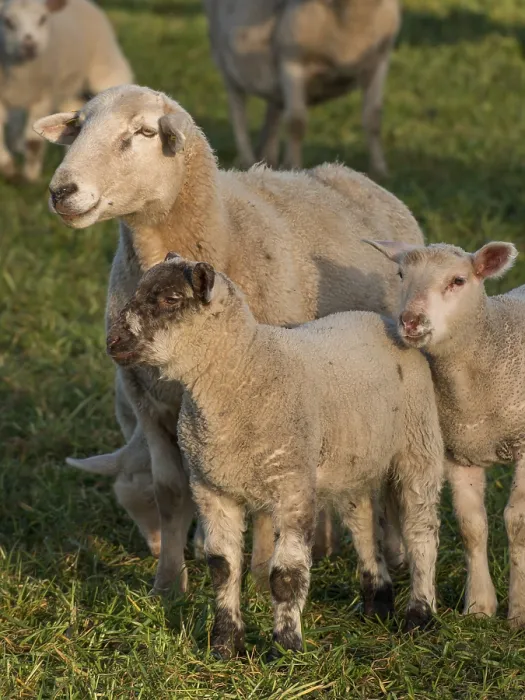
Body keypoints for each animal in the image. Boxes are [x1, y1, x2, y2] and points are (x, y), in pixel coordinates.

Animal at [0, 0, 132, 182]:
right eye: (8, 21)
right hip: (70, 90)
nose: (30, 46)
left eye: (42, 19)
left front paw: (30, 178)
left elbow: (33, 143)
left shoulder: (44, 95)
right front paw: (8, 168)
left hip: (106, 68)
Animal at [33, 84, 424, 595]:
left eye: (143, 132)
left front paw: (257, 577)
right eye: (78, 126)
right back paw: (322, 544)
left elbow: (264, 500)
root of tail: (351, 174)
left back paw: (390, 551)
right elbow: (170, 490)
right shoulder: (150, 402)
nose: (62, 191)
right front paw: (168, 585)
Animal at [106, 253, 443, 658]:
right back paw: (377, 602)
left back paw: (419, 616)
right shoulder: (211, 487)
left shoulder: (292, 486)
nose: (112, 341)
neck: (245, 371)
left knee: (422, 531)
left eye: (171, 299)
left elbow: (286, 576)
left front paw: (286, 648)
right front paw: (225, 645)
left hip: (417, 442)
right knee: (363, 522)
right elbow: (222, 567)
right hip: (352, 459)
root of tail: (383, 321)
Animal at [203, 0, 400, 176]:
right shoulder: (291, 63)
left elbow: (373, 119)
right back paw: (247, 159)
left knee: (273, 114)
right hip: (226, 65)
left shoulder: (379, 61)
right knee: (239, 115)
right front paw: (294, 167)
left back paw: (267, 160)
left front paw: (379, 170)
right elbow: (296, 123)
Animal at [365, 238, 525, 627]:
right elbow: (471, 526)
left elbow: (516, 522)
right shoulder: (458, 451)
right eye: (401, 274)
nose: (411, 321)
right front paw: (479, 607)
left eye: (458, 281)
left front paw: (518, 612)